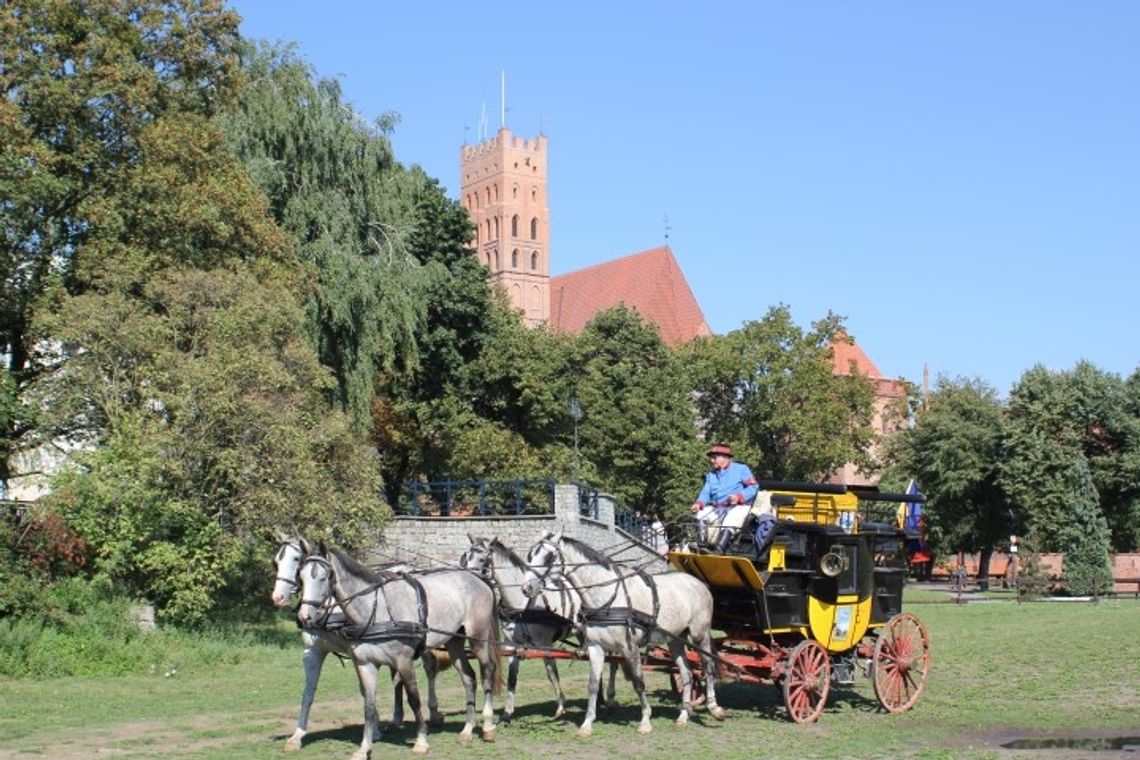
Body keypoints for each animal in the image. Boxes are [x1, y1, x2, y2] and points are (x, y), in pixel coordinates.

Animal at [269, 537, 446, 752]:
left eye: (296, 559)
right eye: (276, 561)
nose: (278, 598)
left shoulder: (355, 651)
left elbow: (364, 690)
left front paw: (374, 731)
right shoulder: (313, 650)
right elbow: (308, 692)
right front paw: (297, 736)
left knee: (429, 669)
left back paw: (434, 713)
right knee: (398, 679)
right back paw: (397, 718)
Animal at [300, 544, 501, 756]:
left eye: (324, 577)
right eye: (301, 576)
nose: (305, 617)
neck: (377, 609)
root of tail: (479, 578)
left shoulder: (404, 662)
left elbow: (413, 698)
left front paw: (421, 741)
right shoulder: (365, 664)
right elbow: (368, 705)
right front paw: (364, 747)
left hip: (478, 638)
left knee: (487, 671)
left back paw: (488, 726)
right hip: (454, 641)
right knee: (468, 677)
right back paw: (468, 729)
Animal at [522, 528, 725, 738]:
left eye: (549, 556)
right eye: (530, 555)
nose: (526, 588)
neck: (606, 597)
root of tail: (698, 583)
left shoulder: (630, 647)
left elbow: (638, 682)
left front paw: (645, 720)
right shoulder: (595, 647)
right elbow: (593, 684)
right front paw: (587, 723)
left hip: (700, 634)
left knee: (707, 665)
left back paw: (714, 707)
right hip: (675, 639)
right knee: (687, 673)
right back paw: (683, 715)